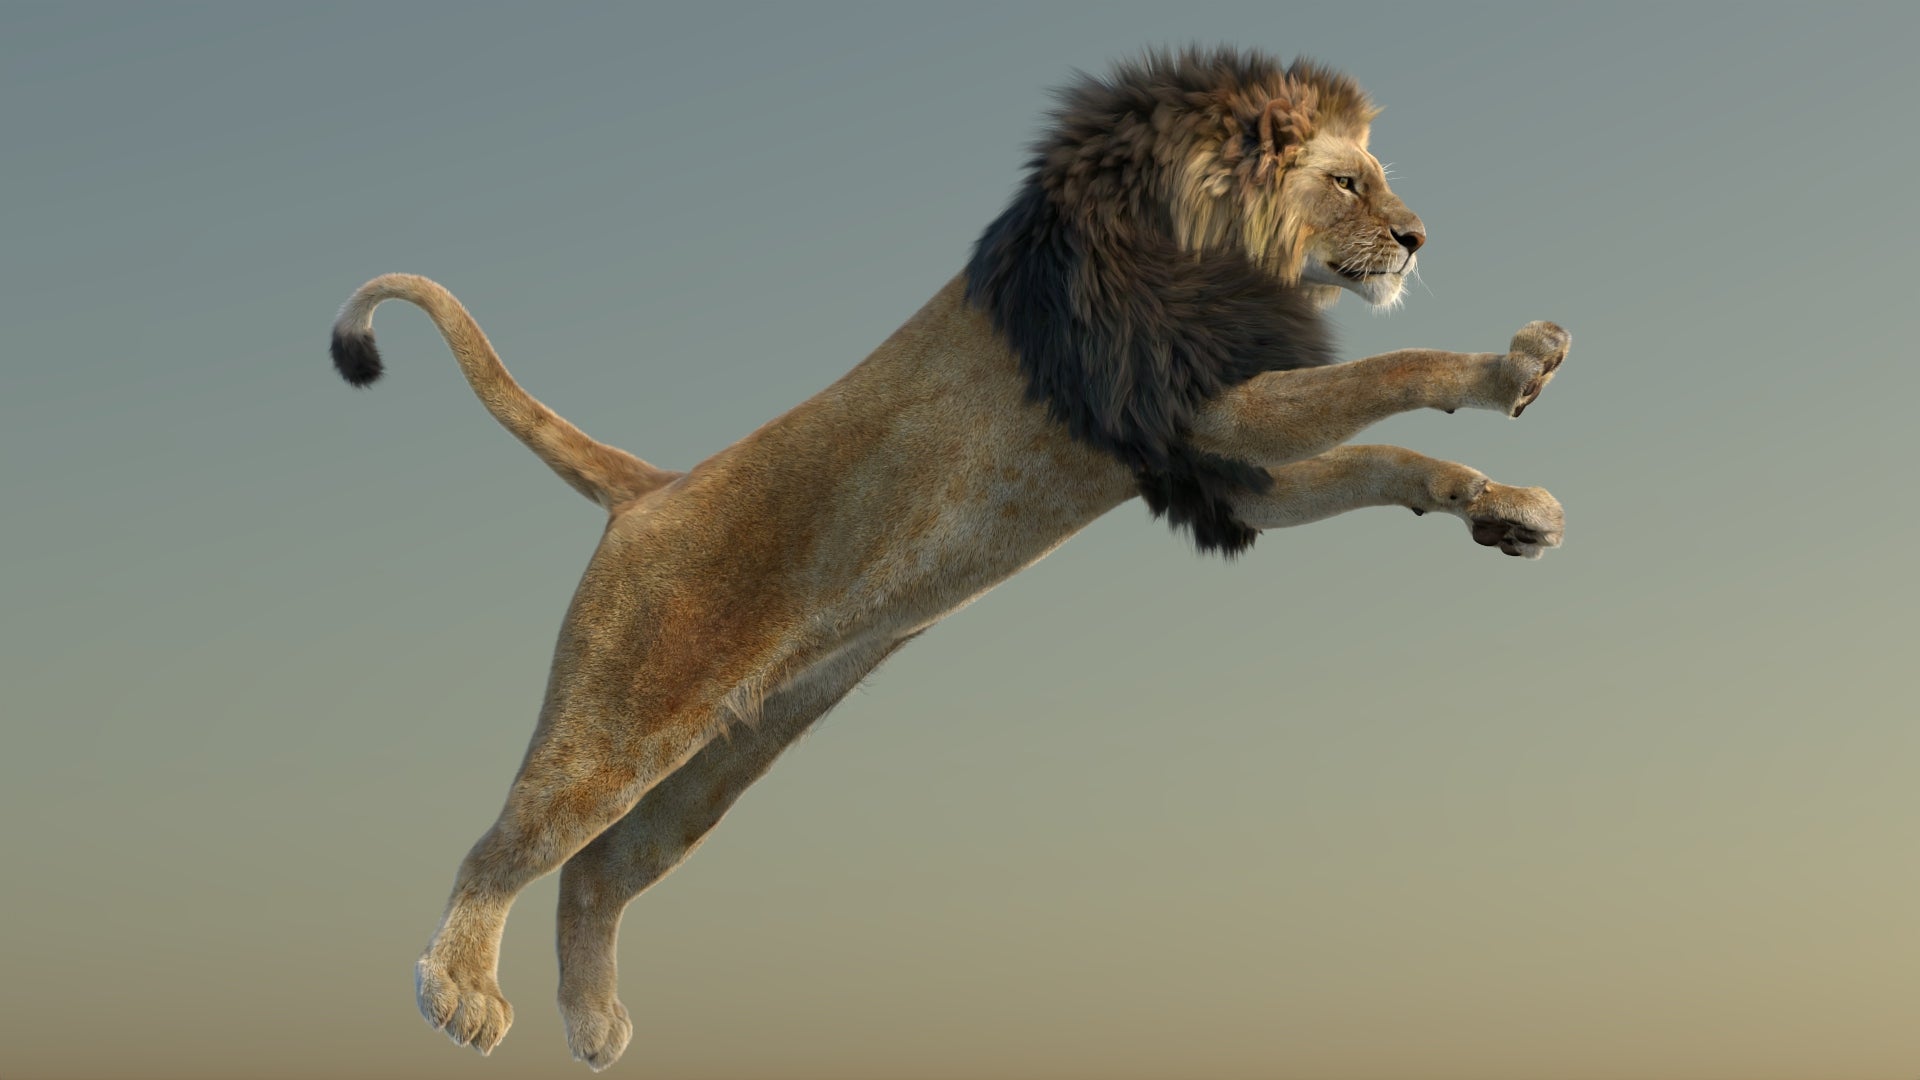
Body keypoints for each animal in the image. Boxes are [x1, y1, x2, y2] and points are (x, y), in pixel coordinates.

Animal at [326, 47, 1568, 1070]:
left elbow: (1390, 457)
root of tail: (652, 487)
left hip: (722, 759)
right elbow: (1392, 374)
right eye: (1349, 183)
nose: (1417, 240)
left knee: (592, 871)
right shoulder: (1198, 408)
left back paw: (590, 1027)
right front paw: (1510, 368)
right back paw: (459, 992)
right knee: (506, 844)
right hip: (628, 714)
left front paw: (1504, 507)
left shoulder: (1210, 462)